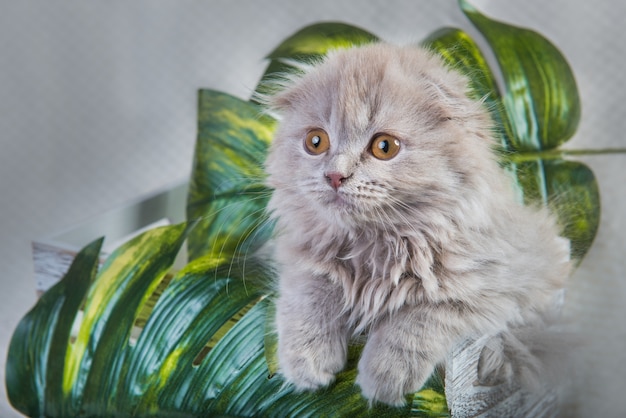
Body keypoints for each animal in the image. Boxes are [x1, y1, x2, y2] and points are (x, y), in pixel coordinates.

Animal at [262, 42, 572, 404]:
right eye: (316, 142)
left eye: (384, 147)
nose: (335, 176)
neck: (375, 250)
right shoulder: (301, 257)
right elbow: (308, 296)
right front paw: (306, 362)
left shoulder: (509, 282)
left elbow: (422, 315)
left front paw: (382, 377)